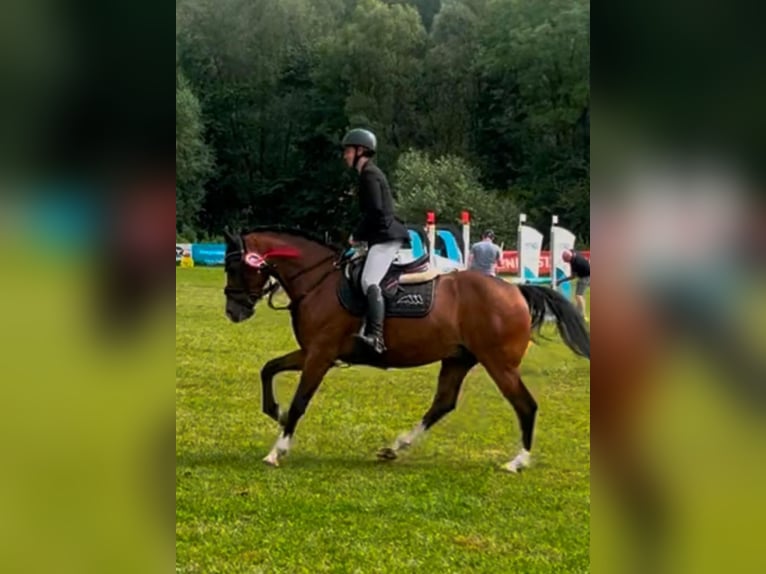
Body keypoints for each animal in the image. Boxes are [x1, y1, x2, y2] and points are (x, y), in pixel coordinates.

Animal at [222, 226, 590, 471]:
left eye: (235, 267)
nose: (233, 311)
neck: (317, 283)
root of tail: (516, 291)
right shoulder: (314, 352)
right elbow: (268, 368)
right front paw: (275, 411)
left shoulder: (320, 355)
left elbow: (300, 401)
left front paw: (277, 449)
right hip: (458, 359)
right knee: (443, 403)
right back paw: (396, 447)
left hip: (499, 364)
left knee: (525, 405)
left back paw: (518, 461)